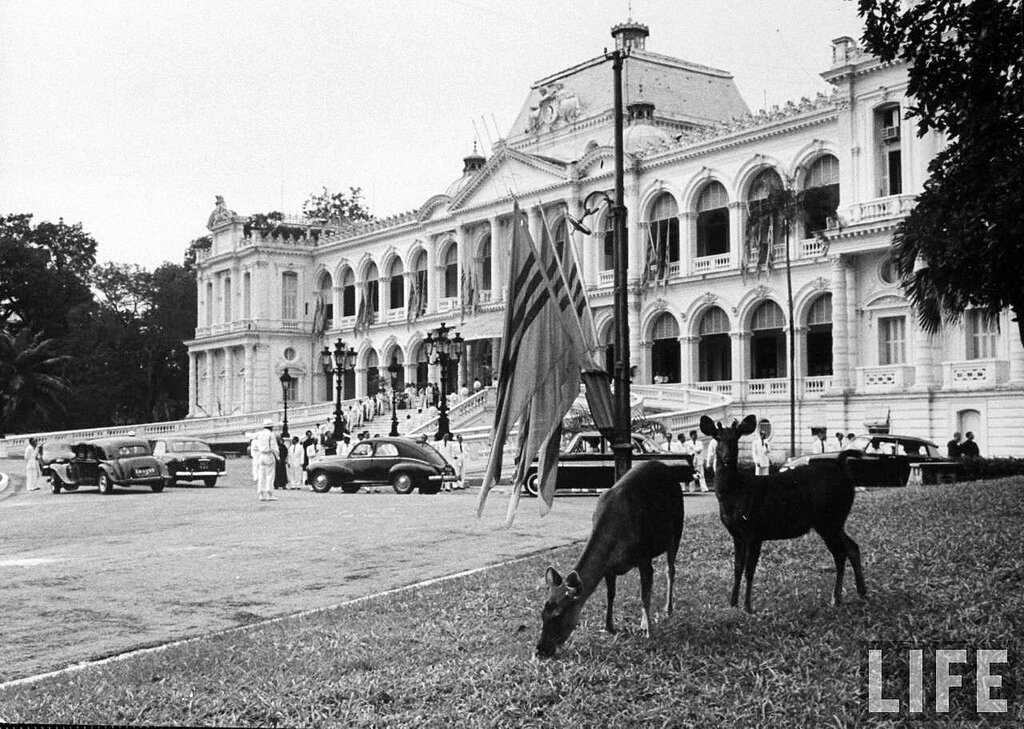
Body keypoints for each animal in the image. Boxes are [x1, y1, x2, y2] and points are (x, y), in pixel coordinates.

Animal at [532, 460, 684, 659]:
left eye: (558, 615)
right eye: (542, 613)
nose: (540, 649)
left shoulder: (644, 557)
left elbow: (644, 595)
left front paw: (648, 630)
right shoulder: (609, 568)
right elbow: (610, 595)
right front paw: (608, 626)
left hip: (677, 529)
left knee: (670, 570)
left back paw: (668, 609)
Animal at [696, 413, 864, 610]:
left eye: (736, 438)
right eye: (718, 438)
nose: (726, 457)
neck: (736, 493)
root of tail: (841, 467)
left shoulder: (755, 530)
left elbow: (749, 570)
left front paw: (748, 607)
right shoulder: (736, 534)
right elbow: (737, 569)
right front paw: (733, 603)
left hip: (828, 519)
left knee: (840, 553)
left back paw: (836, 598)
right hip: (835, 521)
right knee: (852, 547)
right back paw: (861, 593)